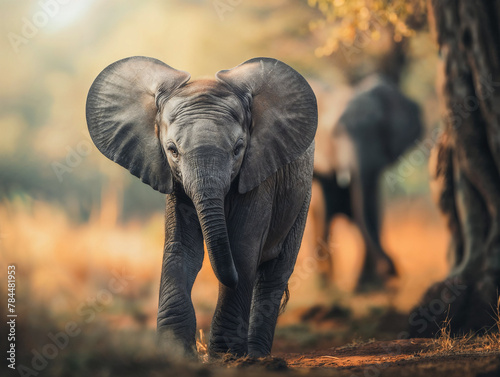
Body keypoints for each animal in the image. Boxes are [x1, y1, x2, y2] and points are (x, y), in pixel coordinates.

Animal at [85, 57, 316, 356]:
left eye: (238, 149)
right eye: (172, 150)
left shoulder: (259, 175)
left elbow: (242, 246)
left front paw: (227, 355)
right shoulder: (175, 182)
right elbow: (181, 247)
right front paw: (174, 351)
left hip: (303, 195)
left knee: (274, 275)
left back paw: (256, 356)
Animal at [312, 75, 422, 288]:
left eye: (379, 131)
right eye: (337, 133)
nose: (394, 270)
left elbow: (371, 211)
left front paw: (368, 286)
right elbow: (324, 215)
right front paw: (328, 287)